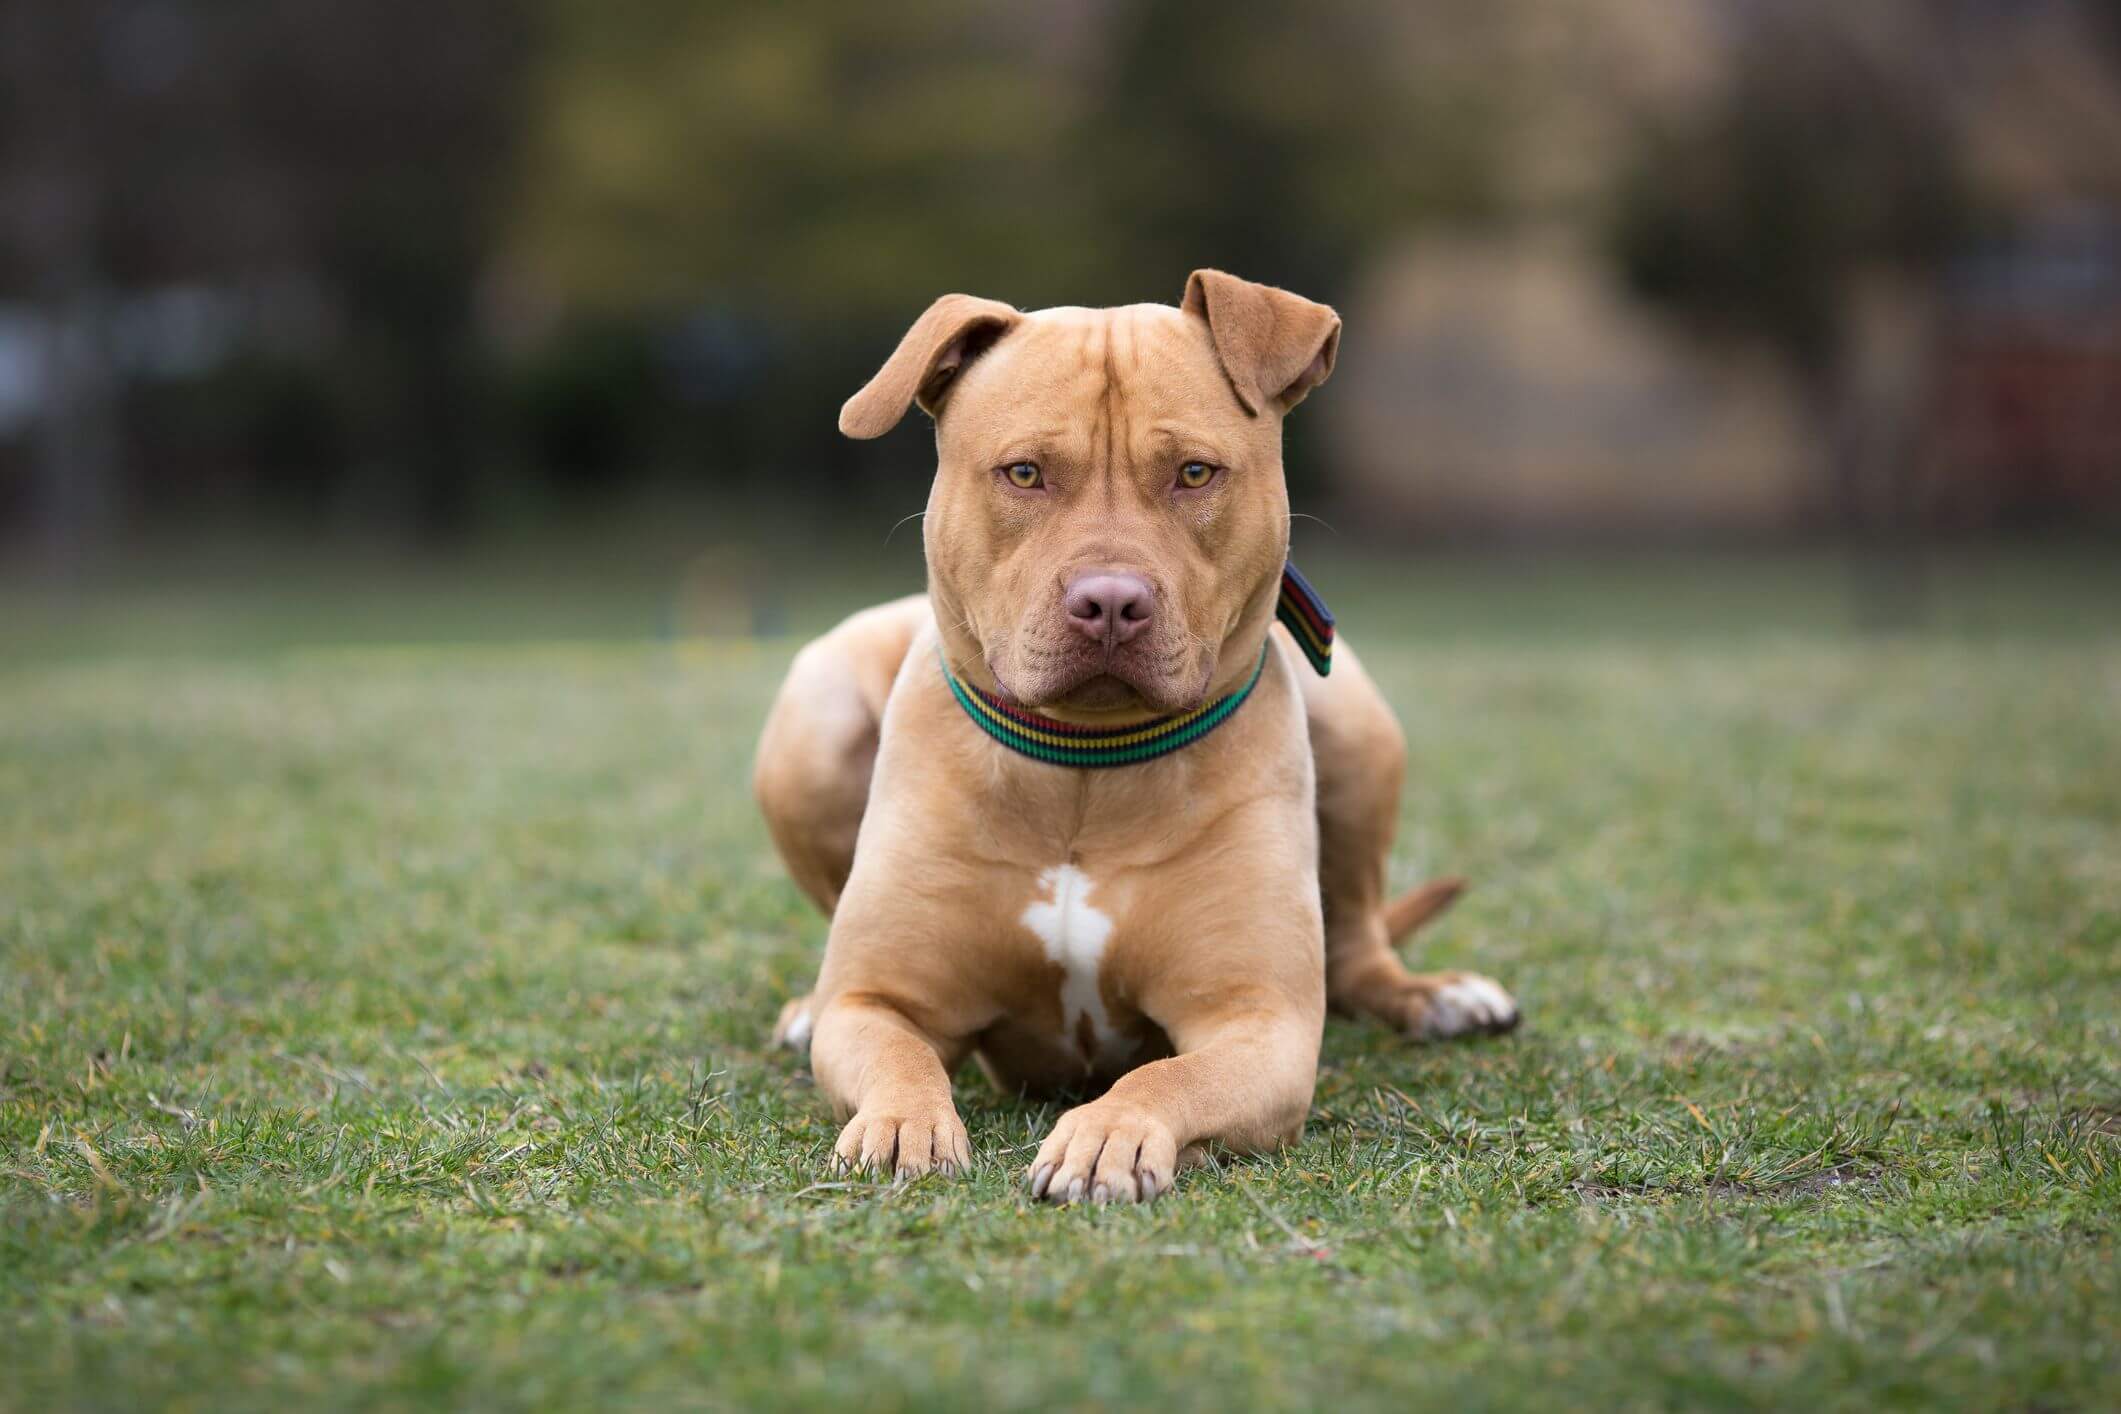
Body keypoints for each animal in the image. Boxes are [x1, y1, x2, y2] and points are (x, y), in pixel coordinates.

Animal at [755, 268, 1518, 1204]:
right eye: (1024, 473)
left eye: (1194, 472)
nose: (1110, 601)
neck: (1087, 761)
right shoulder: (876, 999)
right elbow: (897, 1053)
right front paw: (902, 1128)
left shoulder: (1256, 1023)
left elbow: (1168, 1074)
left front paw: (1107, 1134)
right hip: (814, 712)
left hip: (1358, 722)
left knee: (1358, 944)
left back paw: (1438, 996)